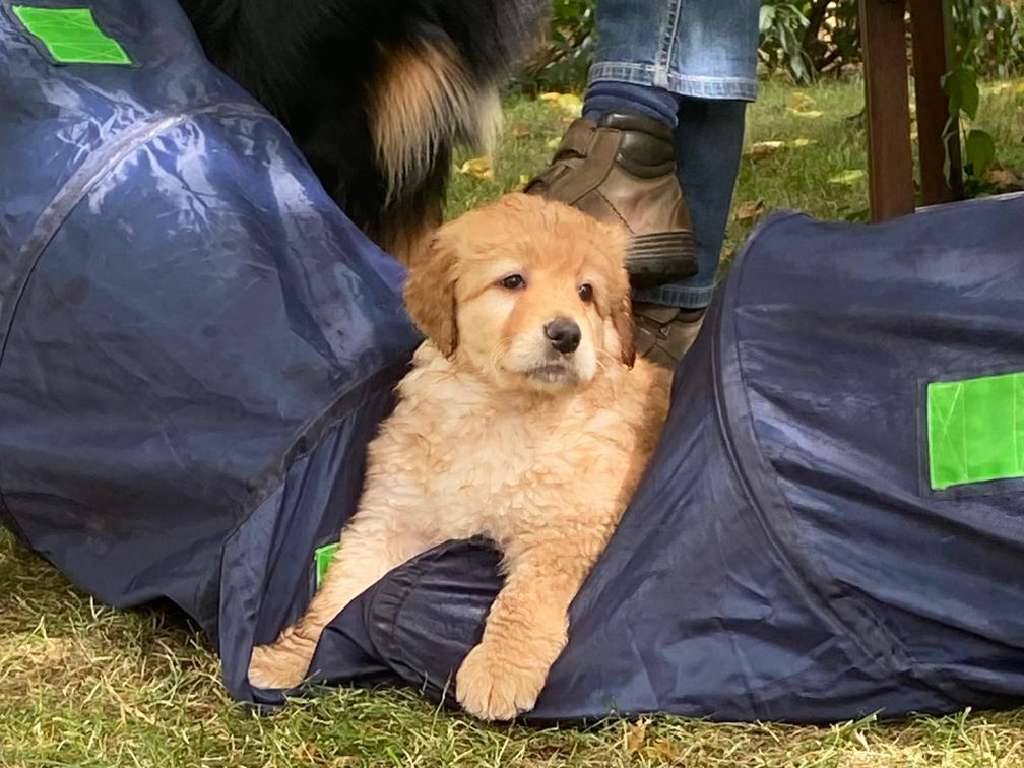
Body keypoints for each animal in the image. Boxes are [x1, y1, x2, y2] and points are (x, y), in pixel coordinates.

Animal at [247, 194, 672, 720]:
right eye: (513, 281)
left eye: (586, 292)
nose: (566, 334)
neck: (505, 410)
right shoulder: (391, 518)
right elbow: (336, 594)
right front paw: (289, 658)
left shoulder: (568, 527)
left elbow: (526, 598)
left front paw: (501, 669)